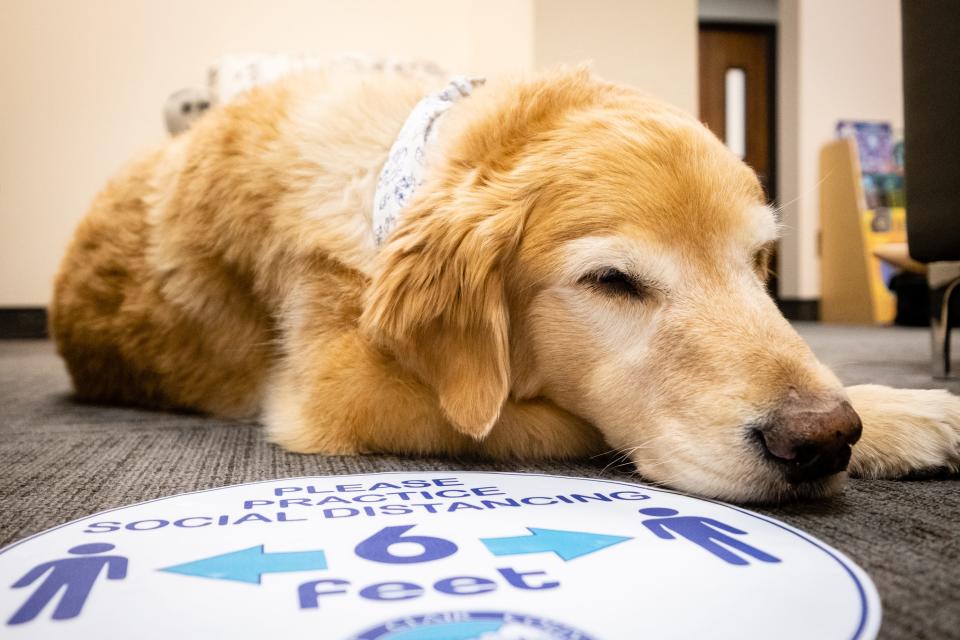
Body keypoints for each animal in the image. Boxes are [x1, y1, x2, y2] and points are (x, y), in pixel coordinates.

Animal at [50, 66, 960, 504]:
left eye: (759, 264)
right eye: (612, 281)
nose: (822, 439)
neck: (392, 170)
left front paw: (899, 410)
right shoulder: (344, 397)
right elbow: (565, 419)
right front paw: (901, 417)